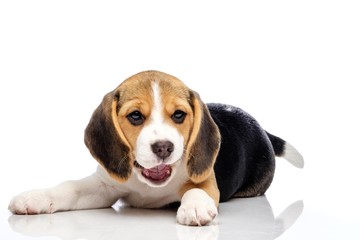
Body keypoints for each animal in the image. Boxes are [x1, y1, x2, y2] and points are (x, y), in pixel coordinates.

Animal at [8, 70, 302, 226]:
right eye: (136, 116)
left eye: (179, 115)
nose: (163, 147)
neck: (148, 185)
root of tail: (260, 128)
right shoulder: (104, 185)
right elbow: (70, 187)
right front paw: (35, 198)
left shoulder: (206, 180)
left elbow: (195, 190)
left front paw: (195, 208)